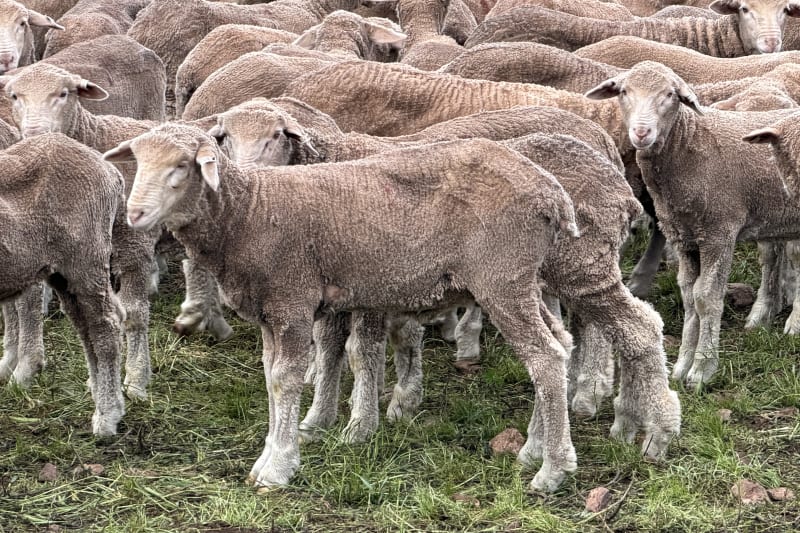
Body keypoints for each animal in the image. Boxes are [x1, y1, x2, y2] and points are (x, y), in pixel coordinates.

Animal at [0, 62, 163, 399]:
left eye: (64, 93)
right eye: (14, 96)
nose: (35, 133)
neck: (95, 138)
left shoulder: (135, 247)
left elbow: (135, 315)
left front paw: (135, 380)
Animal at [0, 132, 125, 436]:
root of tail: (108, 169)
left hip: (87, 258)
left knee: (105, 329)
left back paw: (107, 415)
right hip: (62, 272)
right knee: (86, 329)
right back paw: (100, 392)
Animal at [105, 121, 580, 492]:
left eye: (181, 166)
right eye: (139, 161)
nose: (135, 214)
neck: (248, 212)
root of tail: (552, 191)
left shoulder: (291, 302)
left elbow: (285, 381)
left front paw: (279, 467)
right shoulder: (270, 312)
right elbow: (270, 376)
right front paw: (270, 457)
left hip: (501, 278)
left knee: (543, 358)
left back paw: (551, 471)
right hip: (523, 279)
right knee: (560, 345)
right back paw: (537, 448)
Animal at [585, 61, 800, 387]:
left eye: (670, 95)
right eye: (623, 92)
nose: (641, 132)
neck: (689, 143)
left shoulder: (719, 232)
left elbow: (706, 298)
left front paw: (702, 370)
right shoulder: (683, 237)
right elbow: (689, 297)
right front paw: (681, 366)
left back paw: (793, 324)